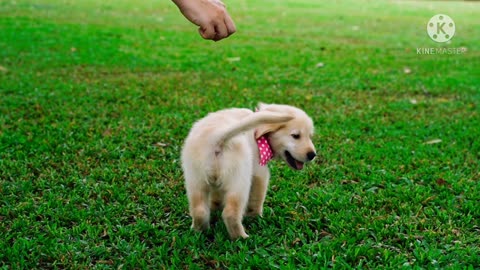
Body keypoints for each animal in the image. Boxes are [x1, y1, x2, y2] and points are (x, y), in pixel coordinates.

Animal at [180, 103, 316, 238]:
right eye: (296, 136)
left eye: (310, 136)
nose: (312, 155)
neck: (258, 134)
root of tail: (217, 137)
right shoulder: (260, 173)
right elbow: (257, 199)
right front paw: (256, 217)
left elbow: (216, 196)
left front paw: (215, 208)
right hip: (240, 182)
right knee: (230, 213)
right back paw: (242, 237)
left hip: (195, 179)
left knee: (199, 210)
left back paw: (199, 231)